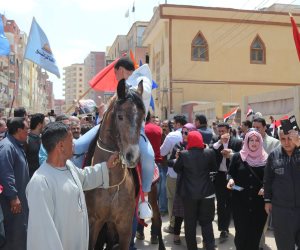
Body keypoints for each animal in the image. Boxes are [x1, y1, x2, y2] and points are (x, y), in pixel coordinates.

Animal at [84, 79, 145, 250]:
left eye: (142, 117)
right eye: (120, 116)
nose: (132, 156)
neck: (111, 184)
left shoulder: (124, 227)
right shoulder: (94, 223)